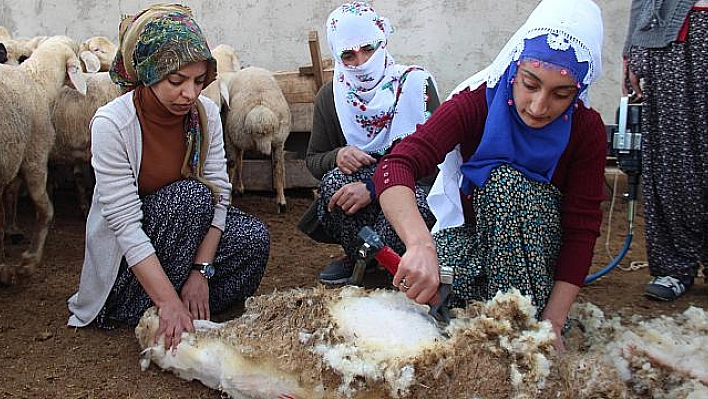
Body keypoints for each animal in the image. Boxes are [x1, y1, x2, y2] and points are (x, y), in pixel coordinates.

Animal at [220, 66, 290, 212]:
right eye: (258, 133)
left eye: (271, 132)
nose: (266, 153)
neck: (259, 103)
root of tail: (251, 67)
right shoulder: (230, 139)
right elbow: (231, 165)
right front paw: (228, 199)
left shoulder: (278, 143)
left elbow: (278, 169)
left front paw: (281, 201)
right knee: (238, 161)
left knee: (240, 159)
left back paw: (239, 187)